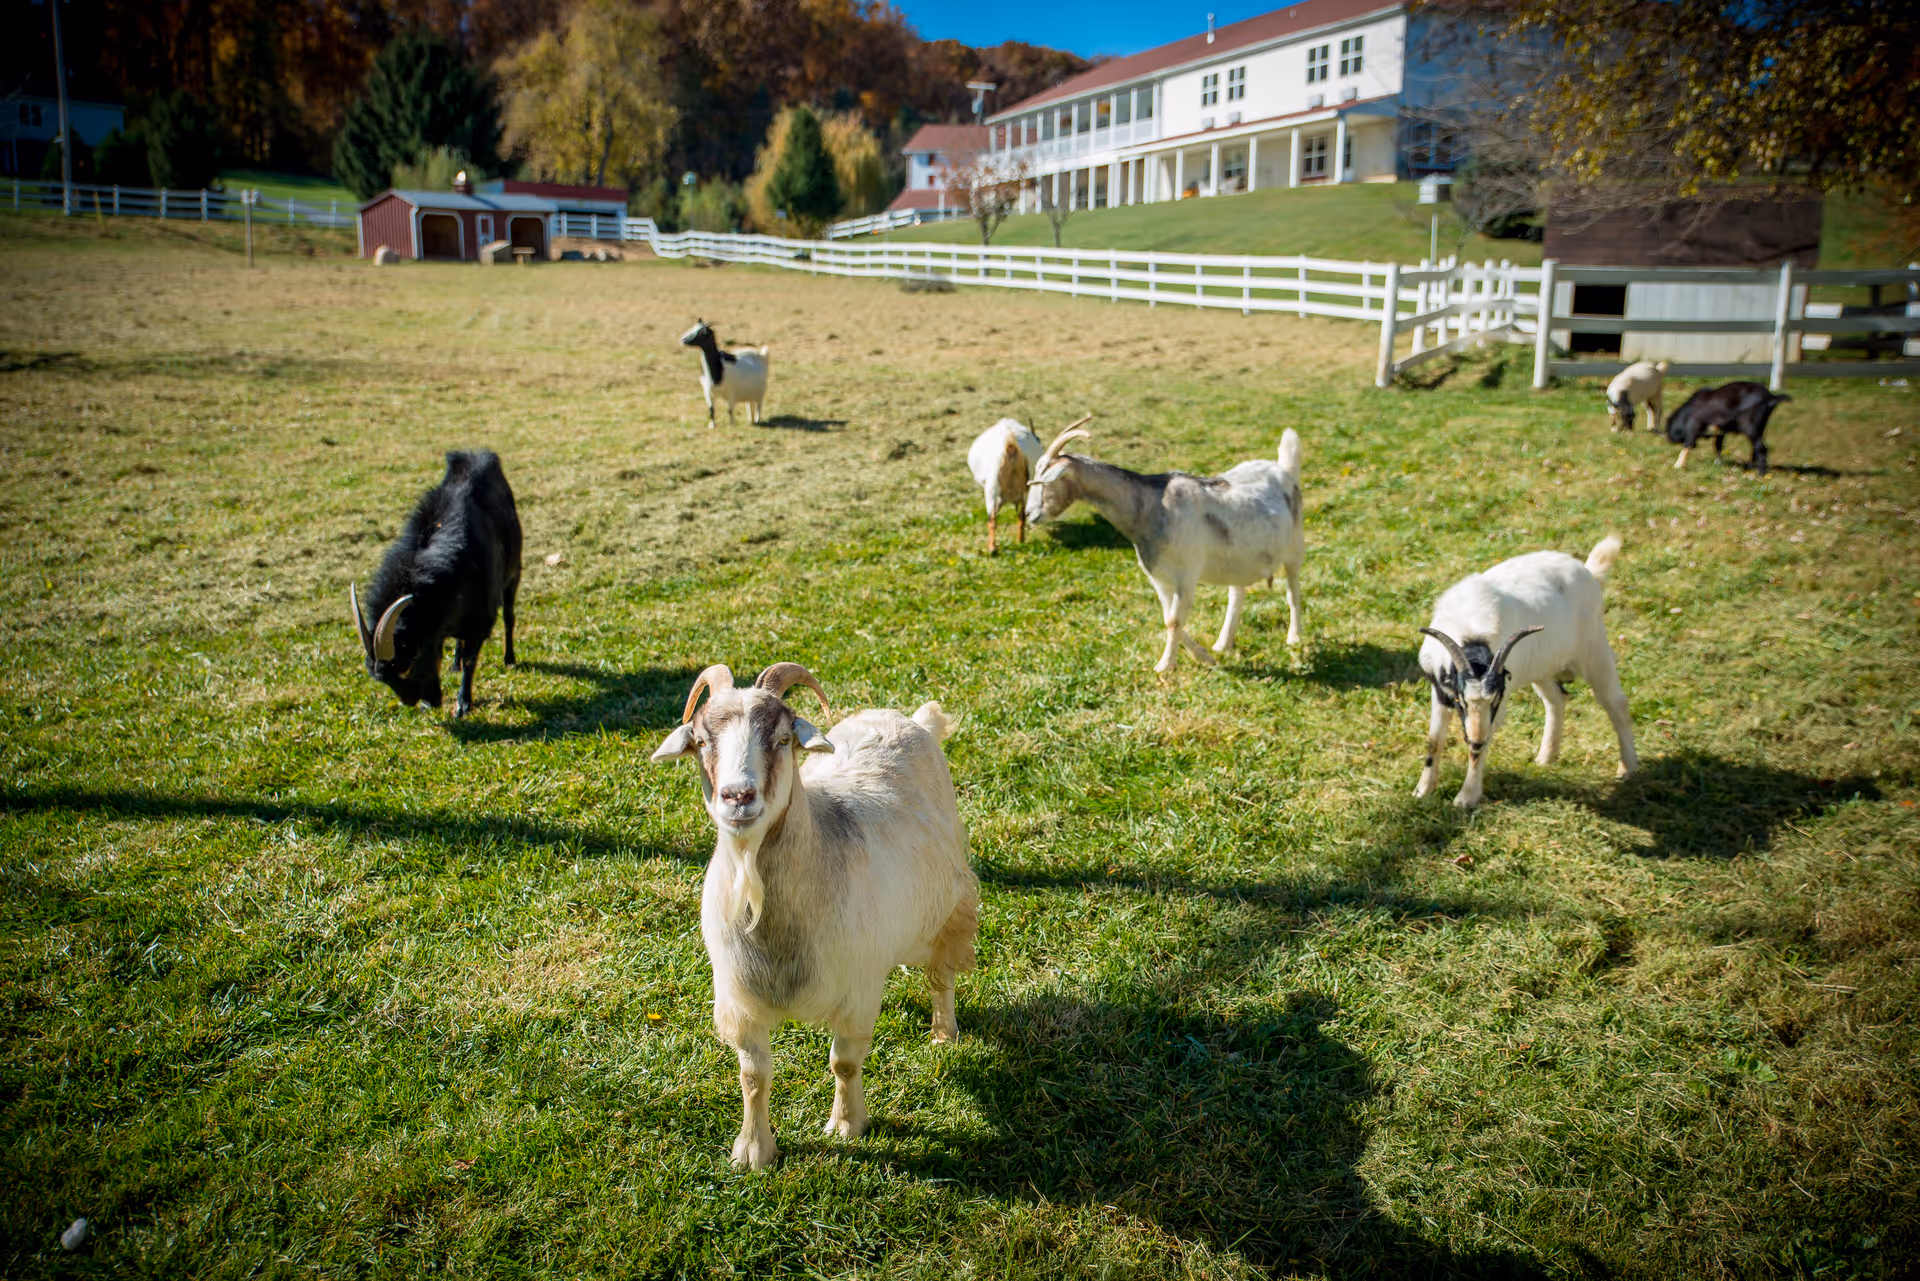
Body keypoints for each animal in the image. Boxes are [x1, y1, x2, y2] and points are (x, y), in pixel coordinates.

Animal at [348, 449, 522, 719]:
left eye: (410, 661)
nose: (415, 701)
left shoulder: (481, 620)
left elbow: (472, 658)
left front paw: (463, 704)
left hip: (513, 575)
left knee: (509, 616)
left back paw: (509, 658)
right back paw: (455, 664)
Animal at [651, 662, 978, 1172]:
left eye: (783, 738)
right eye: (702, 742)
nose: (737, 796)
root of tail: (912, 720)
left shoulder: (856, 993)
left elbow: (843, 1063)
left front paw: (847, 1125)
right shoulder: (741, 1001)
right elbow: (754, 1076)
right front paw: (754, 1150)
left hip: (947, 906)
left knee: (941, 975)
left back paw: (944, 1033)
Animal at [965, 416, 1051, 554]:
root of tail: (1011, 443)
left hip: (992, 486)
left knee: (992, 519)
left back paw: (992, 549)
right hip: (1028, 486)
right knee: (1022, 516)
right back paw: (1020, 541)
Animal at [1024, 421, 1306, 673]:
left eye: (1045, 481)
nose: (1029, 514)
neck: (1152, 508)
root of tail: (1284, 469)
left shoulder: (1186, 575)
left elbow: (1173, 621)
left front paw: (1164, 666)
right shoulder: (1159, 577)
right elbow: (1169, 618)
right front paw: (1204, 658)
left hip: (1294, 547)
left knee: (1293, 591)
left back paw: (1294, 638)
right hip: (1239, 557)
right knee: (1237, 594)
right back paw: (1222, 644)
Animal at [1415, 536, 1636, 808]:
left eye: (1495, 700)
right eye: (1460, 700)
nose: (1475, 738)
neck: (1471, 631)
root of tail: (1589, 572)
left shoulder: (1499, 700)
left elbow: (1482, 745)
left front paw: (1466, 798)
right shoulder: (1440, 691)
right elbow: (1434, 740)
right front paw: (1422, 790)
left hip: (1593, 650)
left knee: (1616, 702)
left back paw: (1627, 770)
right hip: (1541, 665)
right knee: (1557, 699)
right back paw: (1545, 758)